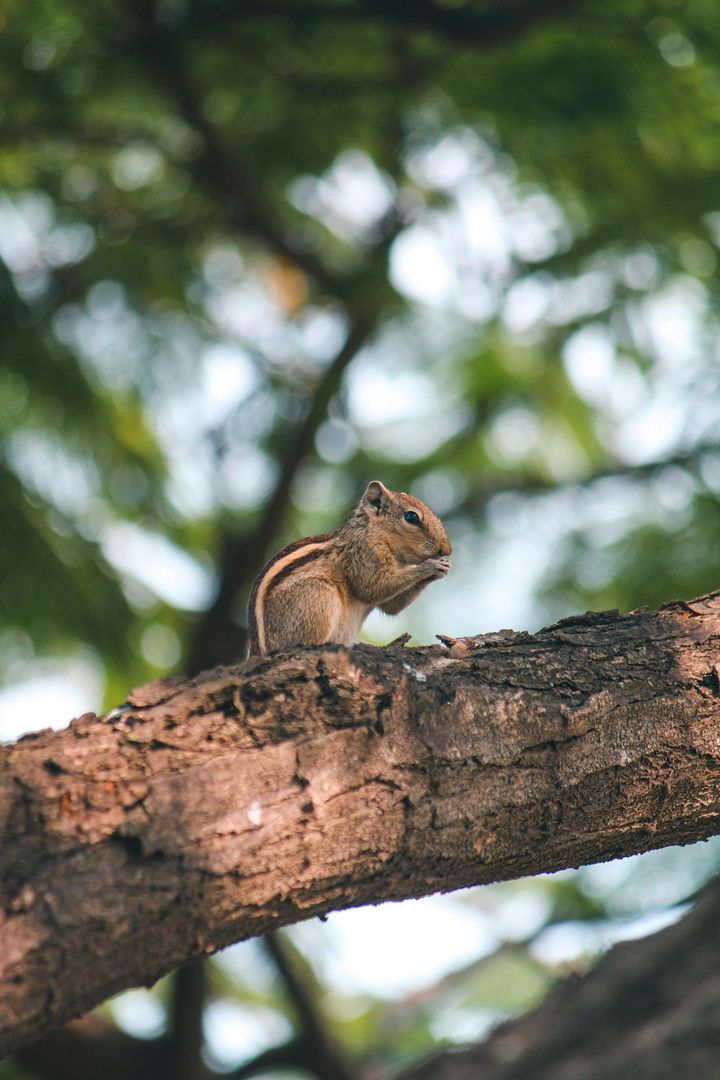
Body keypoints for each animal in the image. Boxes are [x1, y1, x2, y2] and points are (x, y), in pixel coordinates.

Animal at [248, 483, 451, 656]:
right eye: (411, 517)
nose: (447, 550)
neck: (373, 531)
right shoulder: (365, 554)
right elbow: (372, 588)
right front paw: (429, 566)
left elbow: (391, 606)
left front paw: (443, 567)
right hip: (317, 593)